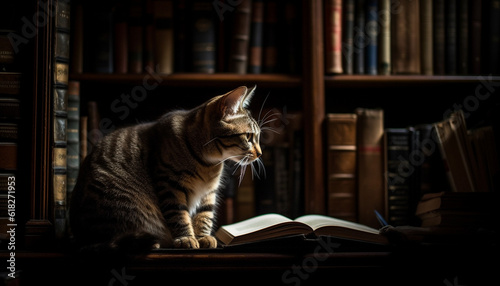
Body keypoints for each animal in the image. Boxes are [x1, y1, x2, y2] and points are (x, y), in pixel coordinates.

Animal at [71, 86, 264, 251]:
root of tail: (81, 239)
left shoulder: (209, 191)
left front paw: (203, 236)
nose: (260, 153)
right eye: (249, 136)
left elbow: (205, 215)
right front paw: (187, 238)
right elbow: (179, 215)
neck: (209, 163)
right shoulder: (170, 183)